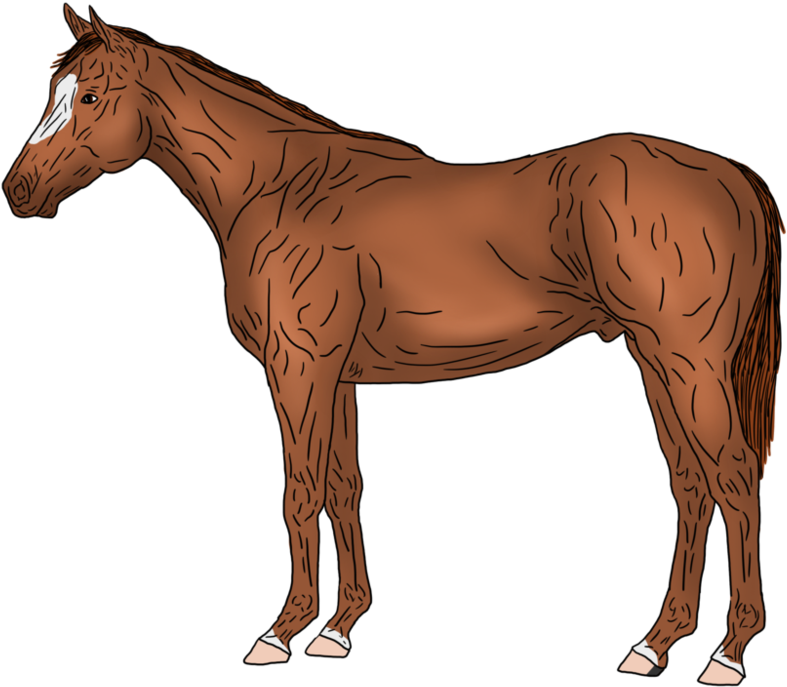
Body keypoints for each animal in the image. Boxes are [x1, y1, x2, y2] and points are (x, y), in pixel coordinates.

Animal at [5, 6, 781, 683]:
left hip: (689, 363)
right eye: (55, 89)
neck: (278, 188)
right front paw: (338, 628)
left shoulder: (298, 368)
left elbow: (300, 491)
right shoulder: (337, 376)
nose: (19, 189)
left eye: (92, 94)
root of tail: (731, 178)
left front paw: (280, 632)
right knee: (691, 483)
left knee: (734, 477)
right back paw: (654, 644)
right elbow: (344, 488)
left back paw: (727, 653)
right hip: (655, 360)